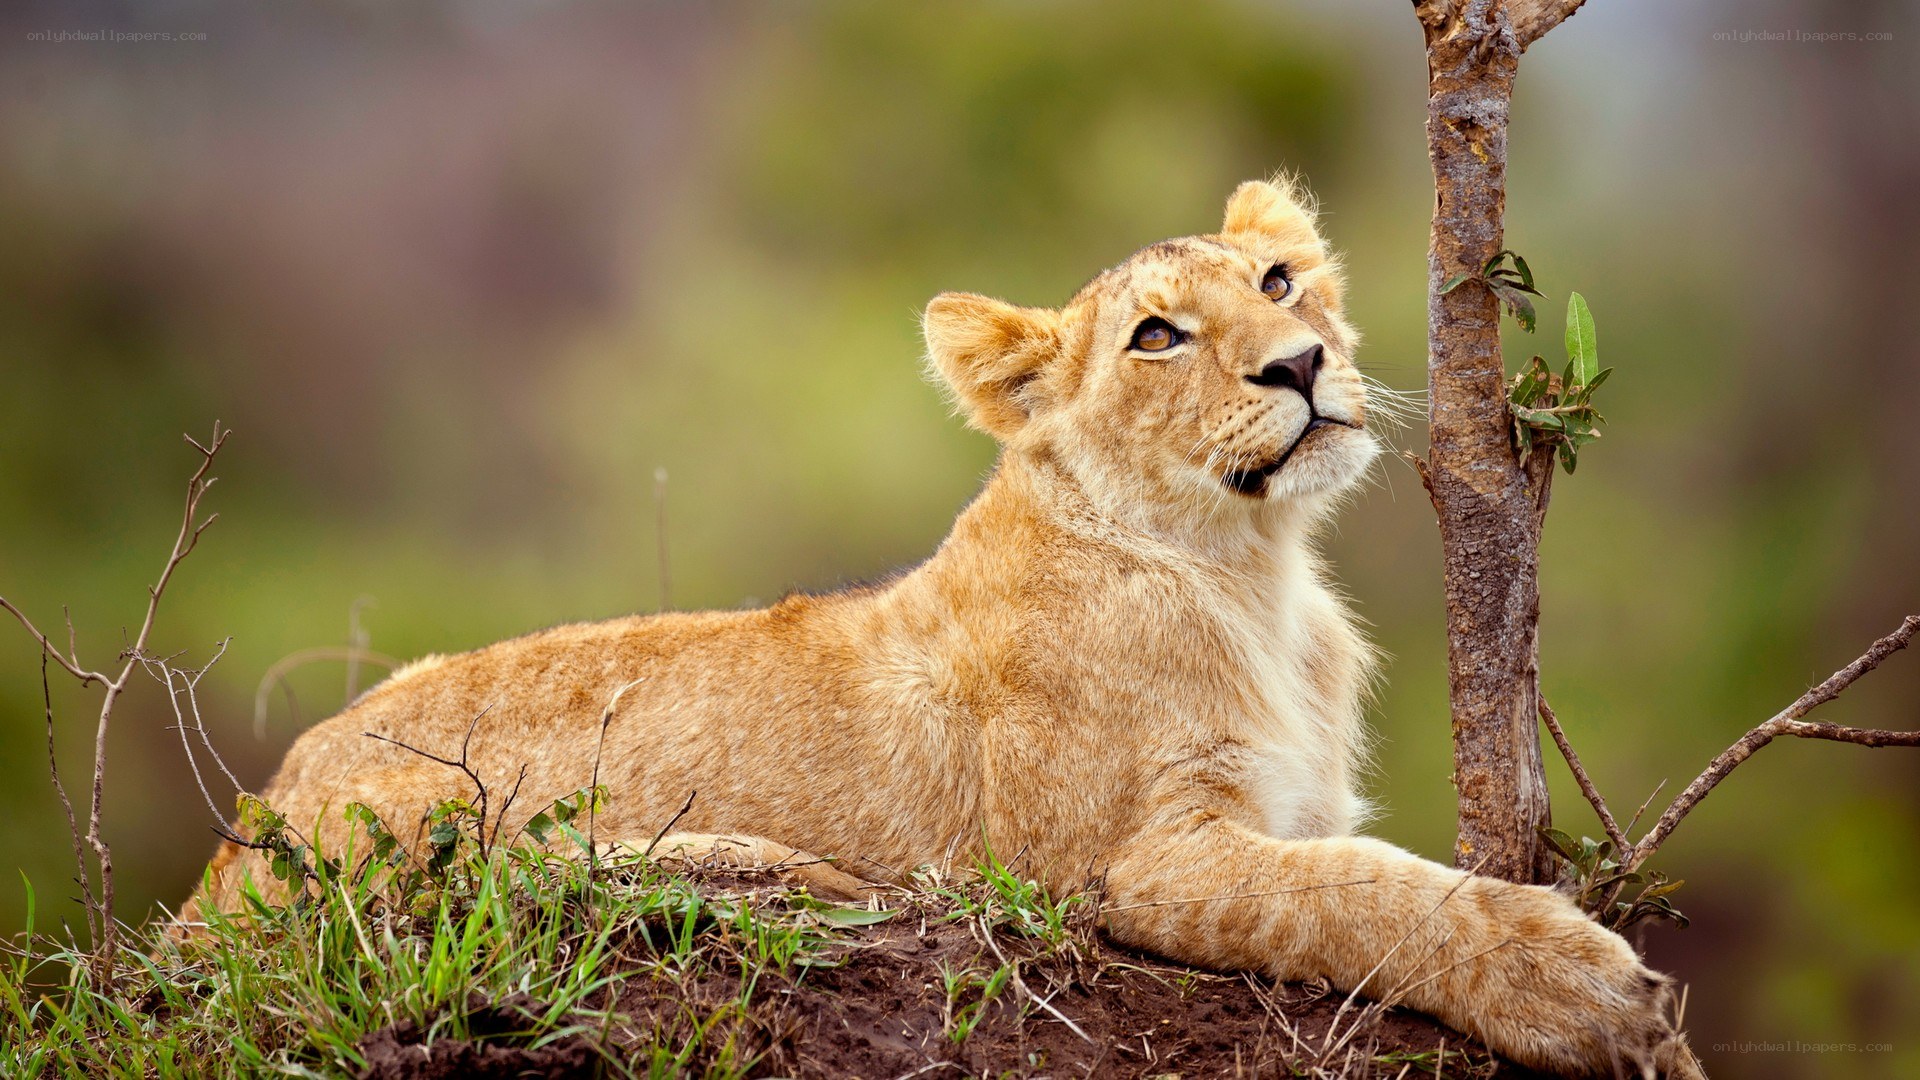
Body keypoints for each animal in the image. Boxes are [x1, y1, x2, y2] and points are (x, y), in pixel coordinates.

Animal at [189, 179, 1697, 1077]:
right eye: (1156, 337)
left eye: (1278, 284)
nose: (1303, 364)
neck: (1253, 570)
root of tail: (227, 856)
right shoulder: (1120, 864)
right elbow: (1361, 894)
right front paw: (1586, 993)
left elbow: (1358, 870)